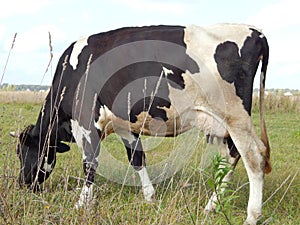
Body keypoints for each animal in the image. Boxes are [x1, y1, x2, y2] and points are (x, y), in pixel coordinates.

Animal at [12, 23, 272, 224]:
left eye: (23, 152)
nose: (23, 183)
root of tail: (256, 33)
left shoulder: (85, 121)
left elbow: (90, 163)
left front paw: (82, 203)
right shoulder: (123, 125)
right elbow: (137, 158)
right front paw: (150, 196)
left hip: (235, 116)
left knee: (253, 157)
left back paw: (252, 215)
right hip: (217, 124)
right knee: (230, 158)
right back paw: (211, 205)